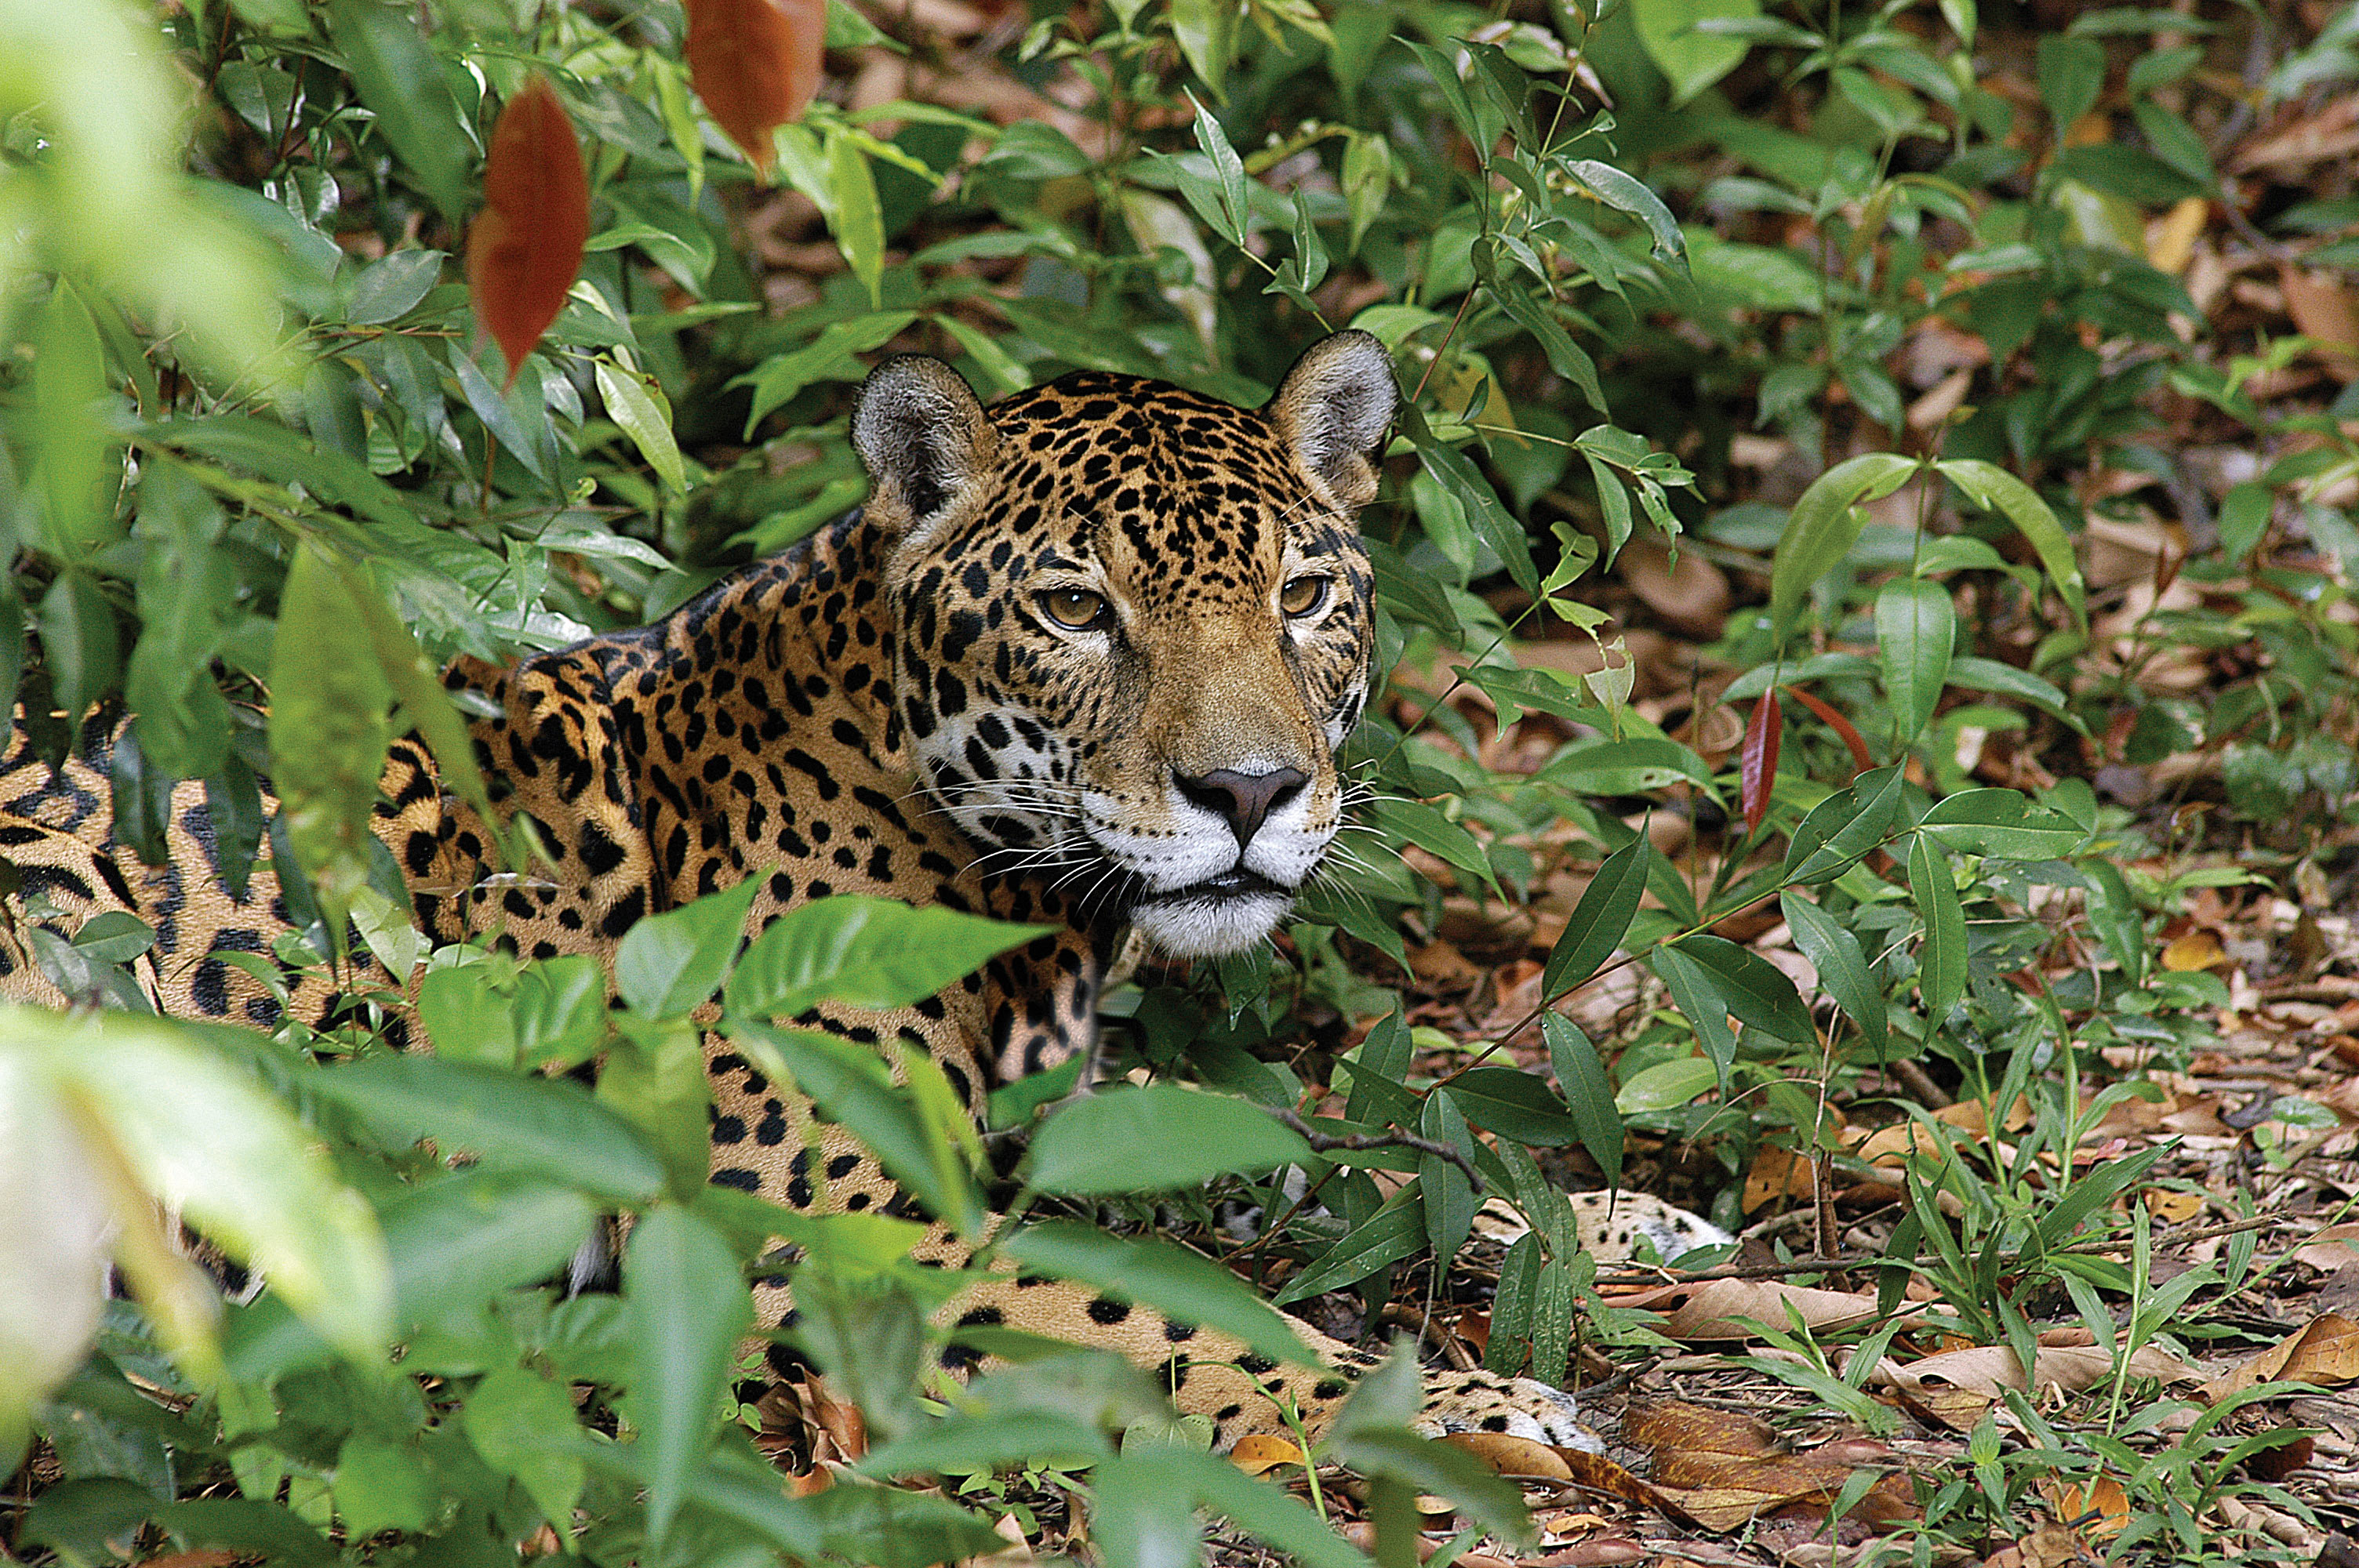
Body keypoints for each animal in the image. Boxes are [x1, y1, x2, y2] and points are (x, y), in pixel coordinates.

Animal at [0, 330, 1720, 1457]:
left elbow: (1285, 1150)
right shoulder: (840, 1238)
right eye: (1076, 610)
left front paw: (1614, 1216)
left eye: (1301, 596)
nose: (1249, 794)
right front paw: (1473, 1404)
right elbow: (1166, 1314)